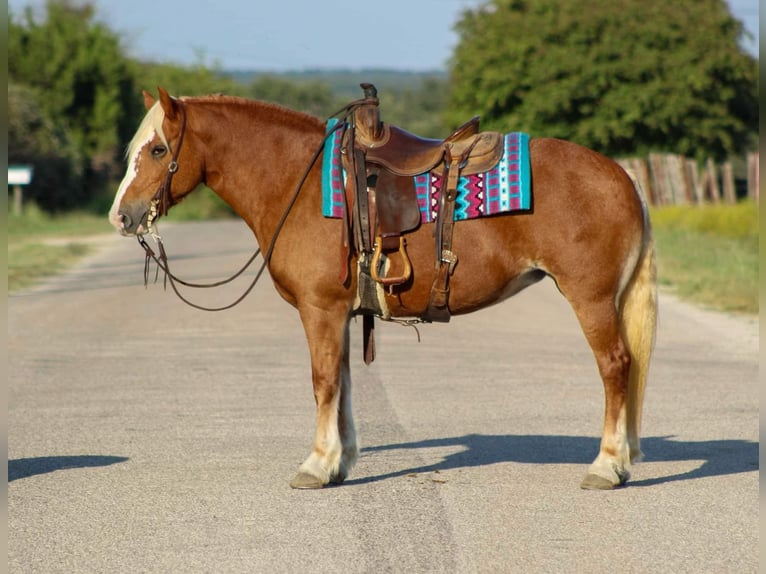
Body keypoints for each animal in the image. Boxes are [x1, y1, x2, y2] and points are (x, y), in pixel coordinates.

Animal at [109, 88, 660, 492]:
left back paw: (607, 466)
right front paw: (339, 461)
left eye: (158, 149)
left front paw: (316, 465)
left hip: (590, 300)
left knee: (615, 367)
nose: (121, 216)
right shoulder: (341, 314)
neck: (296, 183)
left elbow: (323, 382)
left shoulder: (320, 310)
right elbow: (344, 383)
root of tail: (622, 177)